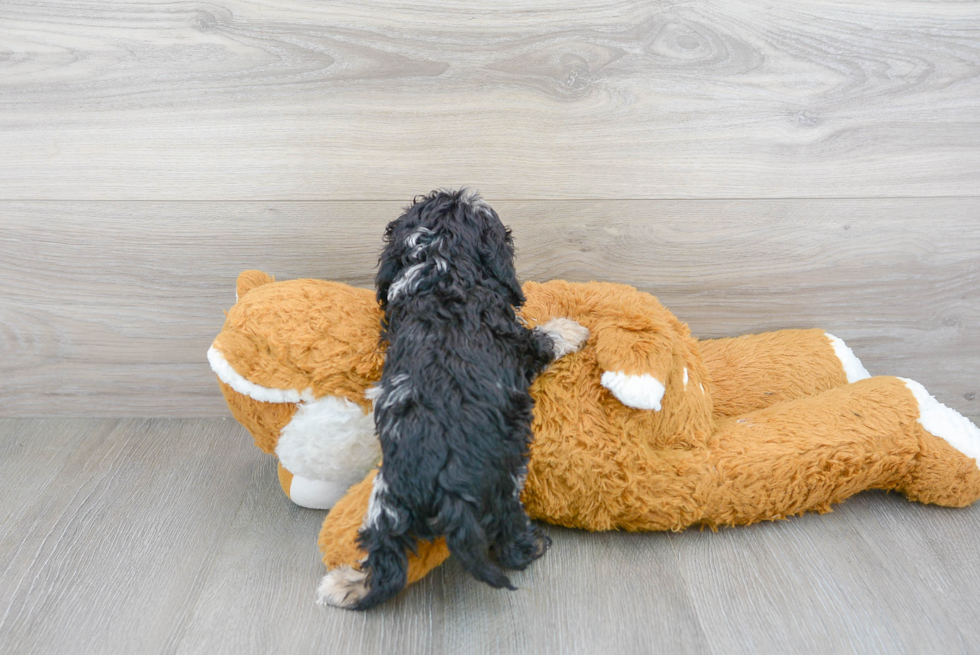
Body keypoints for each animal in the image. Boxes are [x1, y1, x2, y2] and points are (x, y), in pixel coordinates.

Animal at [318, 190, 584, 608]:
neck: (439, 266)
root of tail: (445, 488)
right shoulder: (518, 345)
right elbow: (543, 338)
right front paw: (570, 328)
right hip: (505, 478)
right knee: (508, 538)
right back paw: (533, 545)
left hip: (388, 503)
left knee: (386, 562)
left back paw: (345, 585)